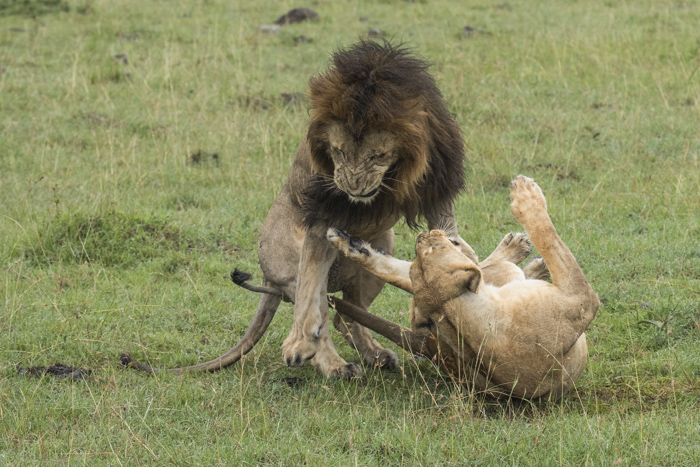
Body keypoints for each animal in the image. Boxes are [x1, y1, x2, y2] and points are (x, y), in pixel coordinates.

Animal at [125, 39, 470, 376]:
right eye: (338, 151)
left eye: (376, 155)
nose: (351, 187)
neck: (396, 176)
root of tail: (265, 276)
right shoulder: (322, 216)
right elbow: (308, 294)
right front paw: (298, 345)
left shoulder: (437, 185)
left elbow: (446, 227)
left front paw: (452, 257)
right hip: (292, 265)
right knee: (319, 308)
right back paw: (335, 366)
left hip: (382, 244)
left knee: (345, 316)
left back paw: (376, 355)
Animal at [326, 177, 600, 400]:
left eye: (427, 251)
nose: (424, 234)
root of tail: (430, 349)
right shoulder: (582, 299)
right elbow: (548, 238)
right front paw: (526, 194)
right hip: (505, 273)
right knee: (488, 264)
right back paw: (520, 251)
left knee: (390, 268)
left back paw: (348, 242)